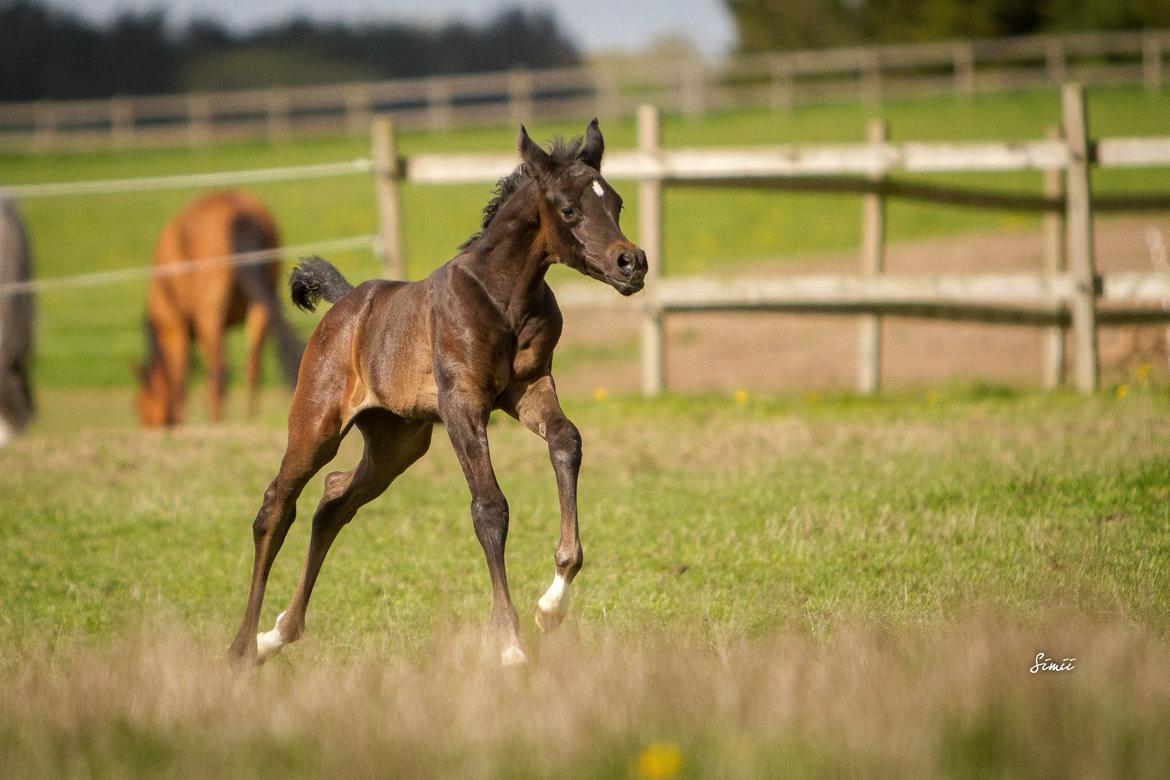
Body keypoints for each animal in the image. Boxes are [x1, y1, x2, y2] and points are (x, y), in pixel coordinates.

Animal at [137, 190, 304, 428]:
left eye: (140, 405)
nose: (149, 426)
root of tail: (240, 212)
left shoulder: (174, 328)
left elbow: (179, 375)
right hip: (260, 308)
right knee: (252, 367)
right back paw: (249, 418)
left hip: (210, 316)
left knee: (219, 374)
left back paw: (217, 421)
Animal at [228, 120, 650, 664]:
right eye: (568, 209)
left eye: (615, 202)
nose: (631, 262)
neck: (502, 297)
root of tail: (345, 304)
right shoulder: (461, 403)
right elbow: (489, 507)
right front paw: (509, 642)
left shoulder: (529, 387)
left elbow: (566, 441)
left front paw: (552, 604)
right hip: (317, 423)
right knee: (277, 506)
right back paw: (244, 645)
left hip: (397, 442)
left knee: (334, 501)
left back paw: (278, 633)